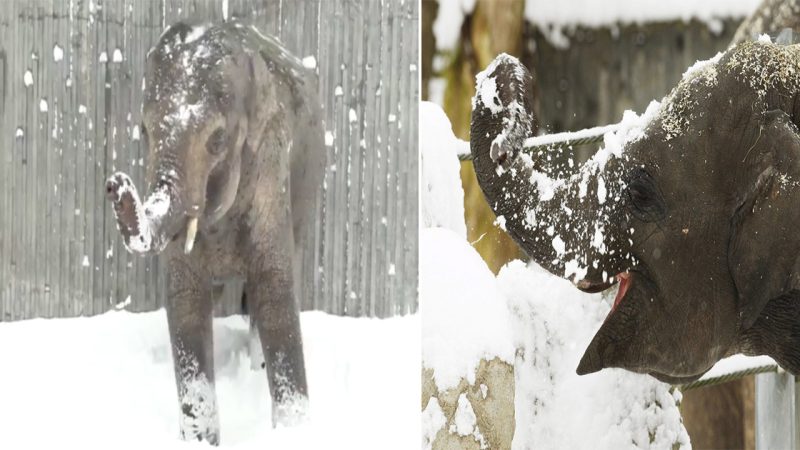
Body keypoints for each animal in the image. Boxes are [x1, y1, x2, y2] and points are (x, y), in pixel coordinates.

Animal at [104, 20, 324, 442]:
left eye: (218, 140)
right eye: (143, 130)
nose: (114, 184)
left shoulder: (271, 165)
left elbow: (274, 288)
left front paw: (294, 432)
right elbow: (186, 300)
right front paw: (200, 440)